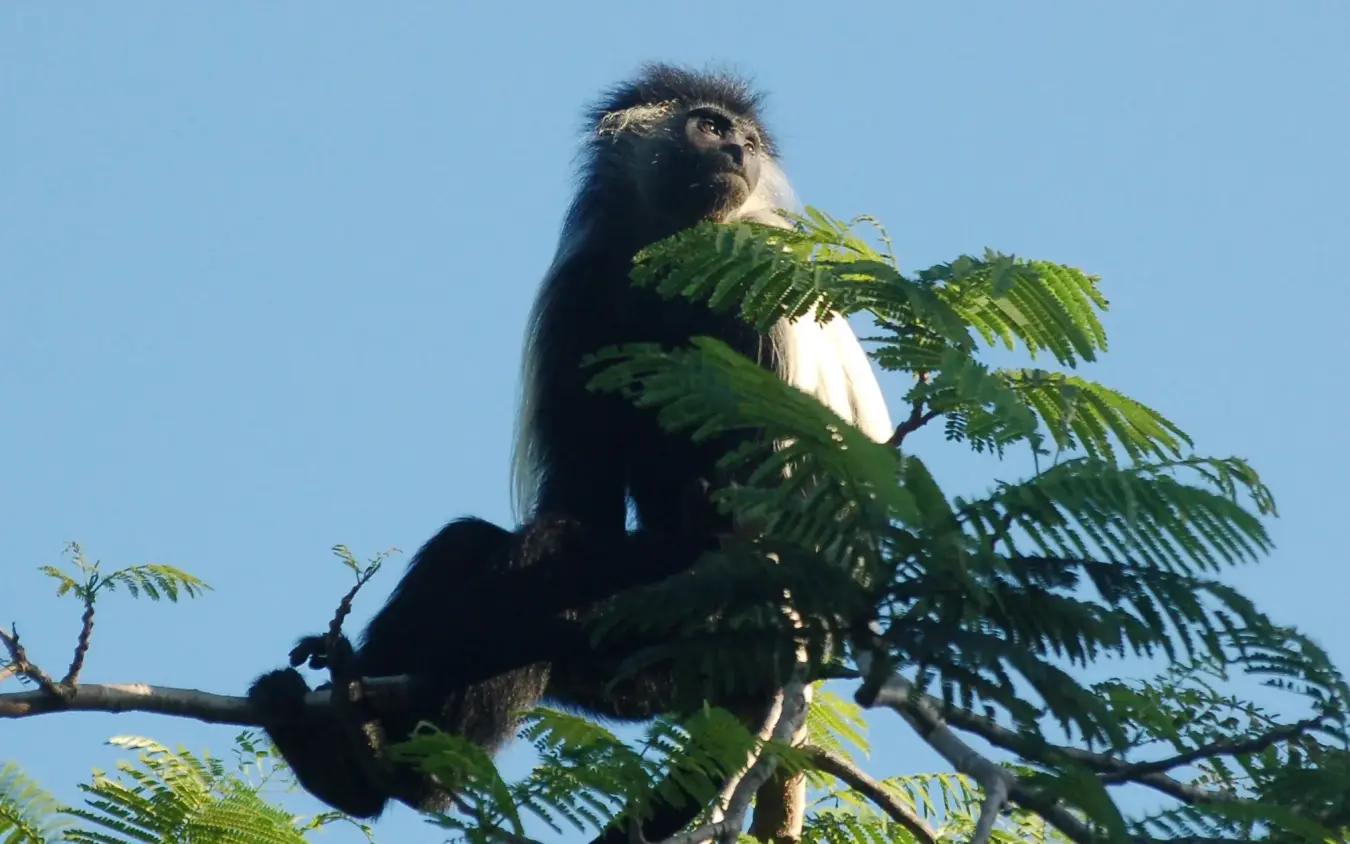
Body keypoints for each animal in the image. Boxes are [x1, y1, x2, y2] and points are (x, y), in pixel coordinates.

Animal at [248, 62, 894, 841]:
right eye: (711, 127)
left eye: (746, 139)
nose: (739, 151)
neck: (667, 251)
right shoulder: (580, 293)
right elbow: (578, 501)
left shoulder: (747, 286)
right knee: (480, 546)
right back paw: (351, 753)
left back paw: (414, 769)